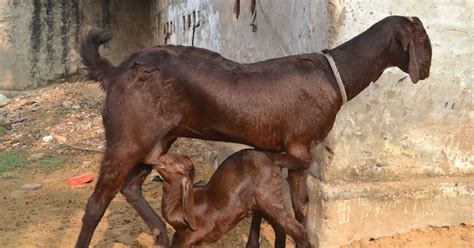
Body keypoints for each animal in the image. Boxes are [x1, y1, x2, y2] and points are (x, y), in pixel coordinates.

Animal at [76, 16, 432, 247]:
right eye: (424, 42)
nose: (427, 69)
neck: (334, 75)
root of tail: (117, 70)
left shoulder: (283, 153)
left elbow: (293, 210)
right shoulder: (300, 148)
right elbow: (295, 208)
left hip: (158, 140)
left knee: (131, 186)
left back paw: (161, 234)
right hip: (128, 136)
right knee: (96, 204)